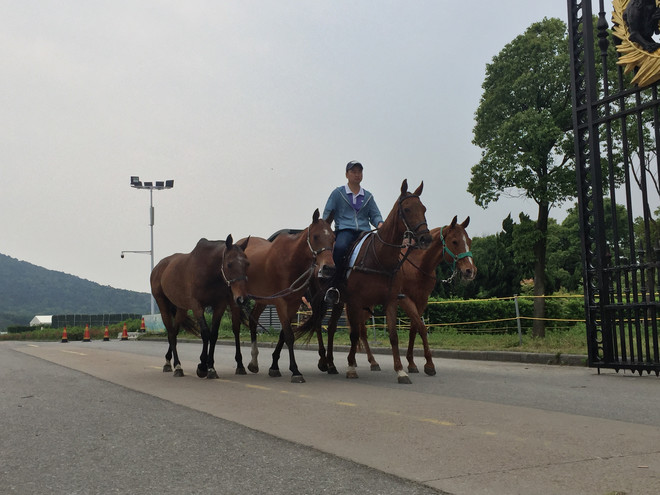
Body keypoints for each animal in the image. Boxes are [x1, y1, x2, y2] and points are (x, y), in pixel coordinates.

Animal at [151, 236, 249, 380]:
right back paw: (177, 366)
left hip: (181, 308)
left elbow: (213, 335)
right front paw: (202, 366)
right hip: (163, 305)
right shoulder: (197, 306)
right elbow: (205, 333)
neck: (207, 271)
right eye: (229, 264)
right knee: (170, 333)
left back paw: (169, 361)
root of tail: (158, 267)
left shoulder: (219, 305)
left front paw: (211, 367)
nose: (242, 299)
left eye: (247, 264)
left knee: (174, 332)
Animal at [231, 209, 336, 384]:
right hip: (236, 299)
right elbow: (289, 335)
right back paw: (240, 364)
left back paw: (253, 362)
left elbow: (284, 334)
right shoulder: (281, 302)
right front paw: (295, 371)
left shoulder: (293, 303)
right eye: (315, 236)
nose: (328, 268)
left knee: (253, 320)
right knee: (236, 328)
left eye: (333, 237)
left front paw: (275, 366)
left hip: (262, 300)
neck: (290, 260)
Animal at [298, 178, 434, 384]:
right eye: (407, 209)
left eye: (424, 208)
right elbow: (354, 334)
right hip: (319, 300)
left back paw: (331, 364)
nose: (425, 238)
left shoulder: (390, 301)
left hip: (338, 303)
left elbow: (393, 335)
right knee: (318, 325)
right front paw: (351, 367)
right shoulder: (355, 302)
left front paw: (400, 371)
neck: (380, 258)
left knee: (331, 328)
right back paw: (323, 361)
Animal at [350, 217, 474, 376]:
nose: (470, 270)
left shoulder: (421, 301)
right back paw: (368, 361)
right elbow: (422, 328)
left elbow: (414, 329)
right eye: (454, 241)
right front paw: (429, 364)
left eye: (469, 241)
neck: (417, 265)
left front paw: (411, 363)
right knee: (361, 330)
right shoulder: (405, 299)